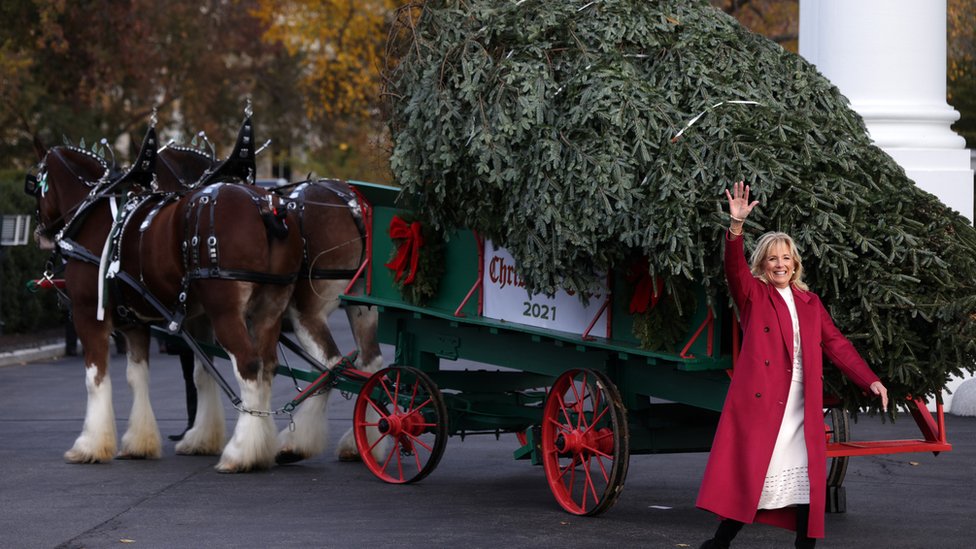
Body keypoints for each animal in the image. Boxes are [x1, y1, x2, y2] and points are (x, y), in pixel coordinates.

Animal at [28, 124, 304, 470]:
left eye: (33, 183)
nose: (40, 233)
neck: (95, 216)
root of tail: (267, 208)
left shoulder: (88, 314)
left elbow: (96, 378)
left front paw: (89, 445)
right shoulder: (137, 323)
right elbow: (143, 376)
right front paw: (144, 442)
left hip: (227, 312)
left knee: (249, 366)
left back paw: (241, 452)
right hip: (269, 309)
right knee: (267, 366)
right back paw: (262, 446)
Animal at [153, 141, 386, 462]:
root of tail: (351, 205)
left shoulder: (202, 316)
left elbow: (202, 370)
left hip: (307, 311)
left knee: (330, 365)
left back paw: (295, 443)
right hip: (362, 306)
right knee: (370, 363)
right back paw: (360, 442)